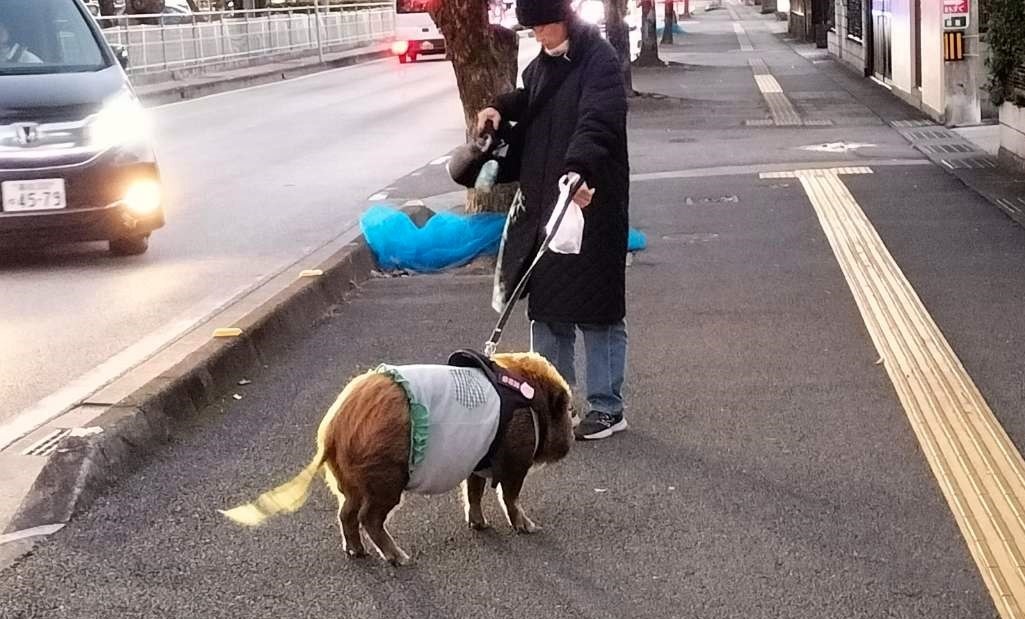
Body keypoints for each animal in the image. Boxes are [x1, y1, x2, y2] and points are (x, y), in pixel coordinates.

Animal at [219, 350, 574, 566]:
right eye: (568, 410)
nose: (571, 441)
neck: (530, 400)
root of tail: (334, 429)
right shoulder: (516, 463)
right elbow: (509, 496)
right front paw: (531, 528)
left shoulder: (477, 461)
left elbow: (472, 492)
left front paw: (480, 525)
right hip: (386, 480)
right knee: (369, 518)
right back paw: (401, 558)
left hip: (349, 483)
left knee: (346, 514)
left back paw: (356, 553)